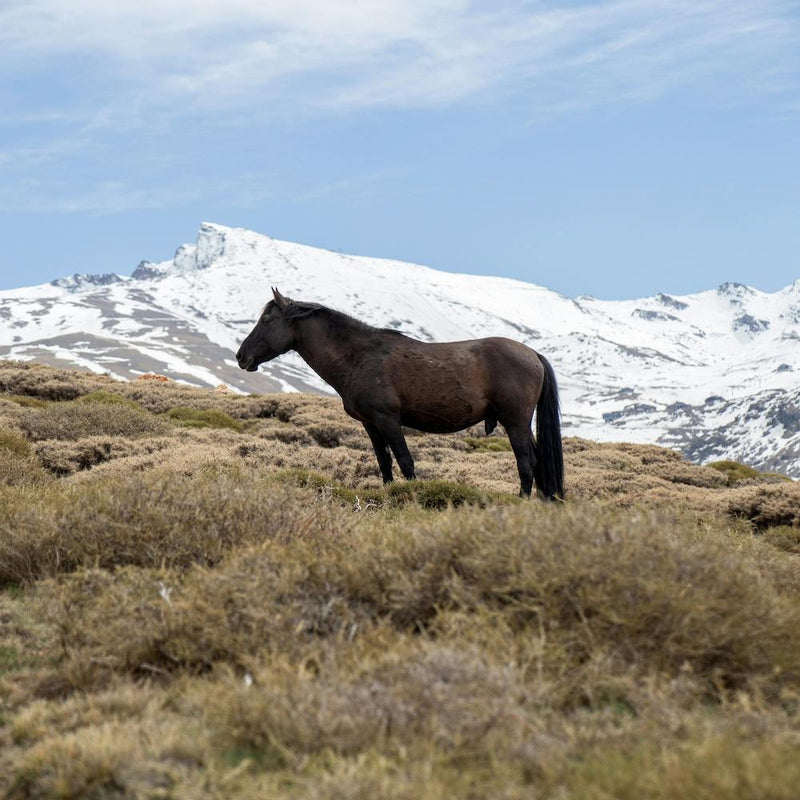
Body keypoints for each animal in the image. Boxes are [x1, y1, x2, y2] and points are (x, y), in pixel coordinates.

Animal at [237, 288, 564, 499]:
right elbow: (384, 463)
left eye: (266, 321)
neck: (359, 356)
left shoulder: (388, 420)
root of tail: (533, 354)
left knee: (526, 463)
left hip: (515, 422)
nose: (242, 357)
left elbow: (406, 462)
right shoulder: (370, 424)